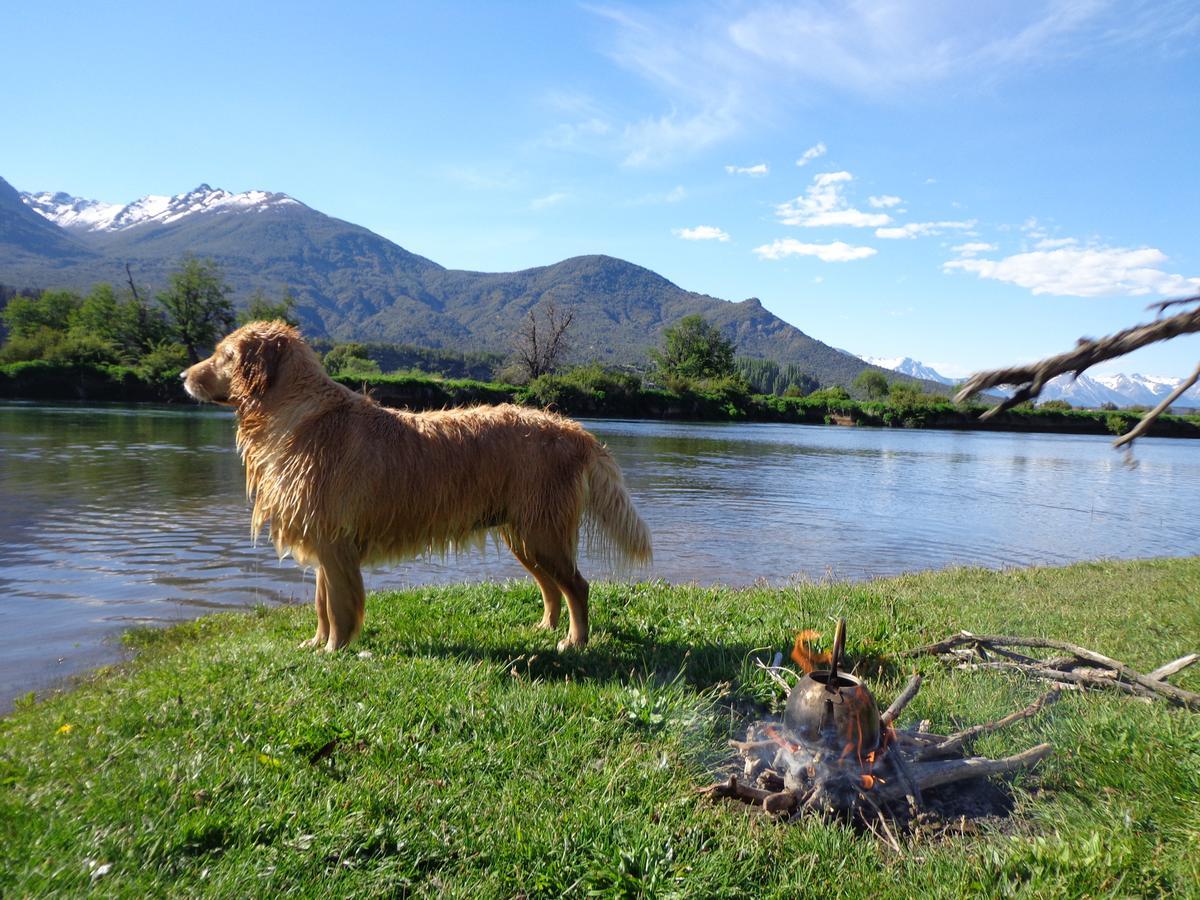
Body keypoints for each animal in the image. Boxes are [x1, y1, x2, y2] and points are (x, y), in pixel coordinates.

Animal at [184, 321, 657, 652]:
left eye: (224, 354)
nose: (182, 376)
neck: (299, 415)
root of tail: (574, 429)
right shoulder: (324, 540)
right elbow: (321, 606)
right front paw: (316, 643)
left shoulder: (334, 542)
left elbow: (337, 607)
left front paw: (334, 649)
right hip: (525, 536)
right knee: (552, 588)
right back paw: (545, 627)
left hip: (543, 533)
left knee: (577, 586)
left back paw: (574, 641)